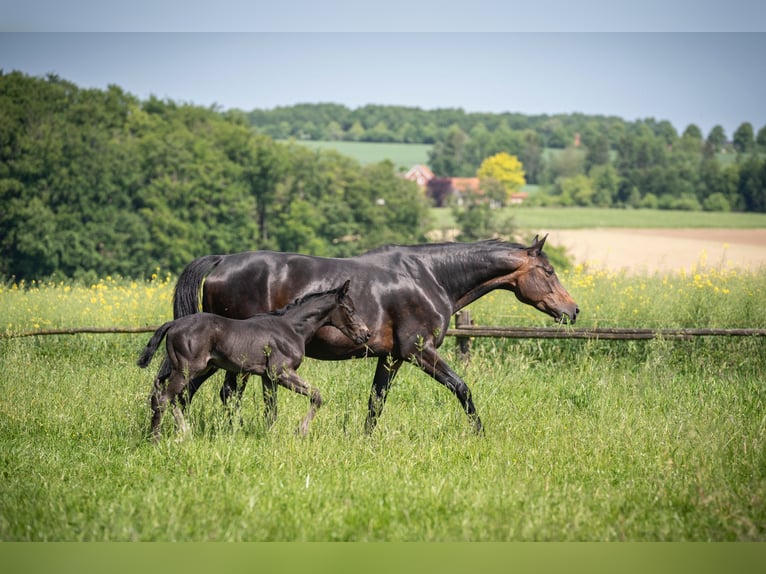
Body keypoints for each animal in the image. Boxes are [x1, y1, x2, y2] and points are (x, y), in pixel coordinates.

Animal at [138, 282, 372, 444]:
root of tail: (173, 324)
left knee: (164, 394)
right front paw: (300, 431)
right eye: (350, 310)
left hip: (188, 369)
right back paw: (157, 440)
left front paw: (270, 437)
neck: (292, 329)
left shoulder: (268, 377)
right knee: (164, 398)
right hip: (188, 369)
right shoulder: (282, 373)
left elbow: (271, 410)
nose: (366, 334)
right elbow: (316, 395)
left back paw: (180, 433)